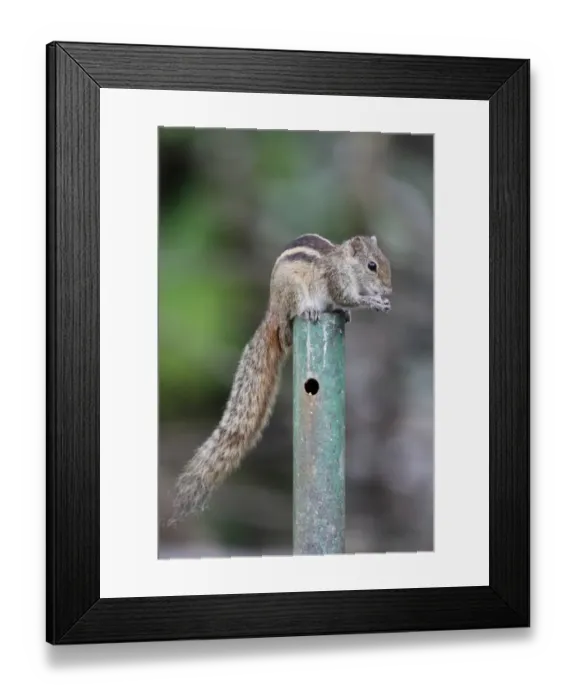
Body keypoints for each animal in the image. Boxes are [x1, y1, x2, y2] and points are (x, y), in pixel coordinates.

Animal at [166, 233, 392, 526]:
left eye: (384, 260)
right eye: (372, 266)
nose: (388, 290)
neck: (343, 263)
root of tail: (272, 309)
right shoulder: (337, 282)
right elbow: (348, 297)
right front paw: (373, 302)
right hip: (293, 294)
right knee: (288, 327)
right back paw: (308, 314)